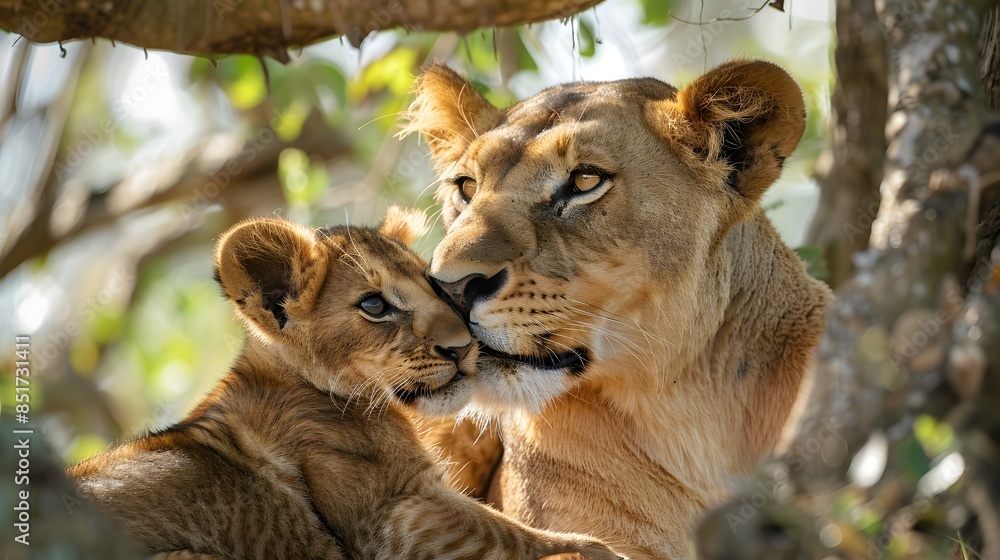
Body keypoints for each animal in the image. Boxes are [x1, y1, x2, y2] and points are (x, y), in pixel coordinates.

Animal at [67, 209, 623, 560]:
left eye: (435, 285)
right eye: (374, 305)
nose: (462, 347)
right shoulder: (393, 516)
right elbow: (516, 536)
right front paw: (598, 549)